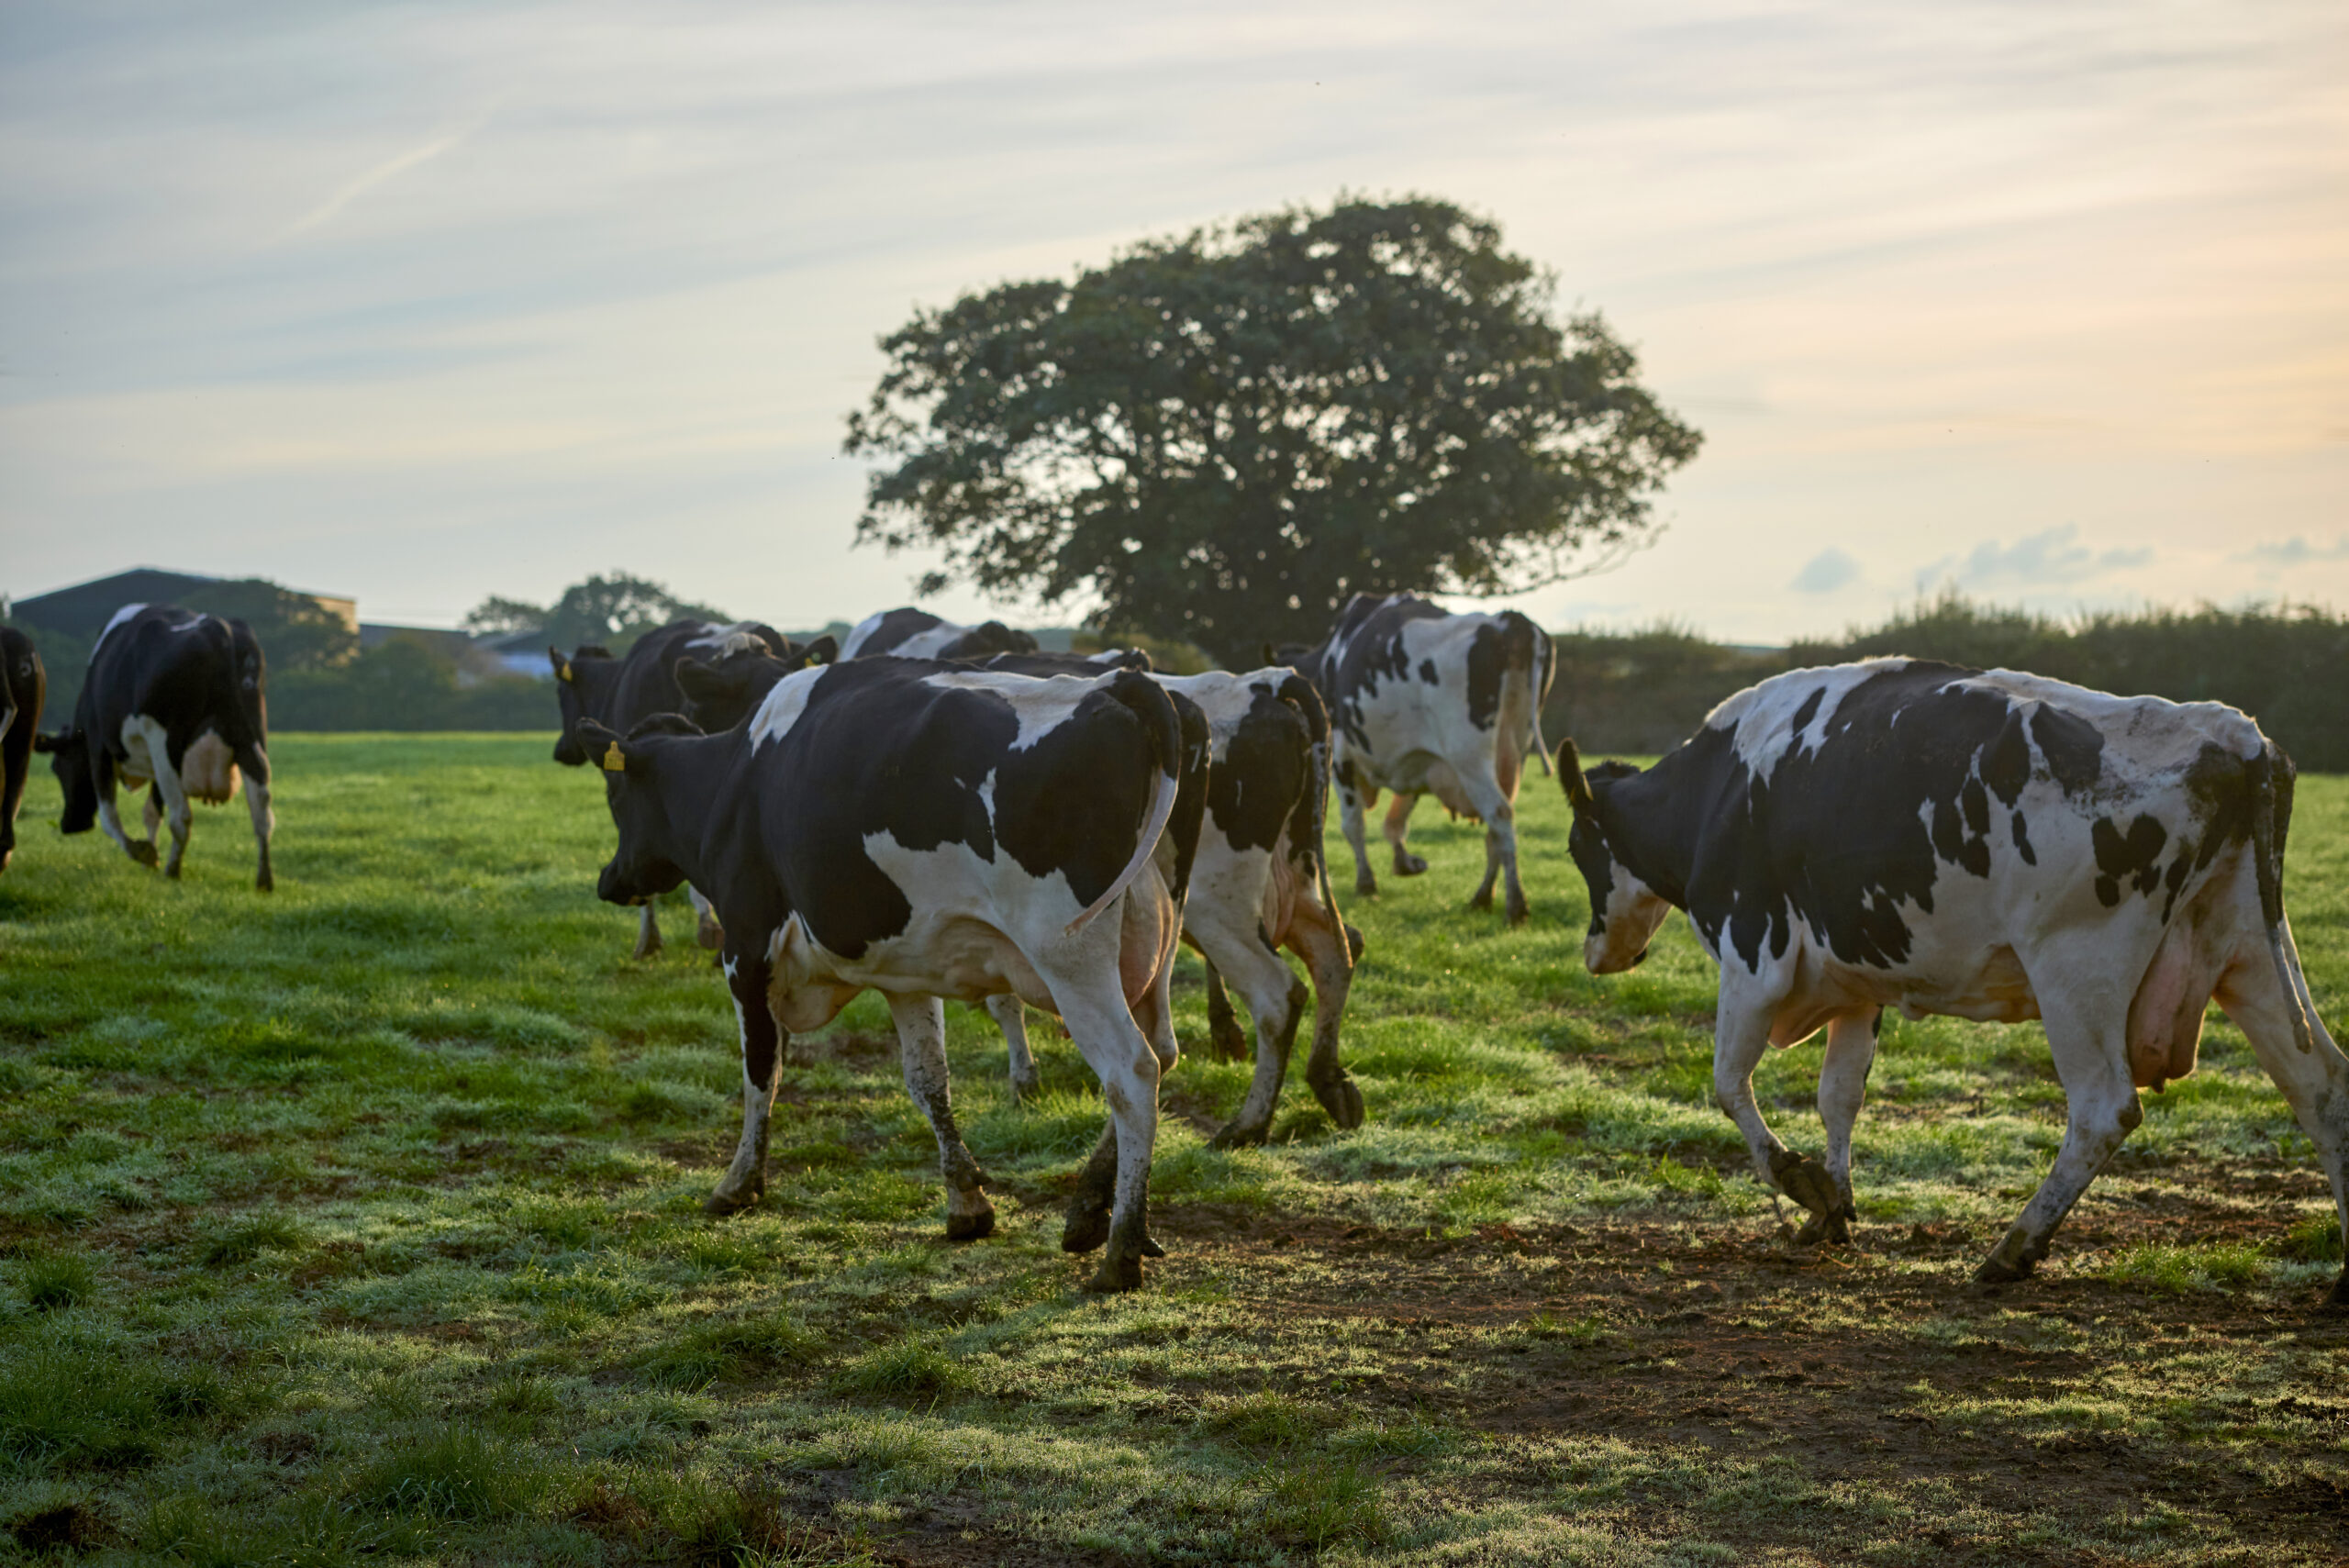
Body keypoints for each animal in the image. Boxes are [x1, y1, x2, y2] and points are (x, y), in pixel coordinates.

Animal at [34, 605, 274, 890]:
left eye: (58, 767)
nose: (69, 824)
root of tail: (215, 627)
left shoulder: (98, 745)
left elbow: (109, 816)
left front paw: (144, 853)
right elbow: (151, 811)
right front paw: (151, 856)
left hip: (165, 742)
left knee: (181, 815)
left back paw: (173, 870)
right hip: (250, 735)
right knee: (261, 809)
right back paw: (264, 880)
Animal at [578, 656, 1209, 1291]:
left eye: (616, 794)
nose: (608, 880)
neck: (737, 779)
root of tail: (1122, 682)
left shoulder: (746, 946)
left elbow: (761, 1070)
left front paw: (738, 1183)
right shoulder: (904, 973)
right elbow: (928, 1080)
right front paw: (966, 1202)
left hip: (1071, 956)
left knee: (1132, 1071)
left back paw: (1121, 1248)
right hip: (1157, 946)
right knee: (1164, 1051)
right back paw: (1087, 1211)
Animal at [678, 648, 1367, 1146]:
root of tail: (1265, 681)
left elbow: (1003, 1001)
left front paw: (1024, 1078)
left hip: (1215, 907)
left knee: (1274, 995)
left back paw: (1248, 1122)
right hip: (1286, 880)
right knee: (1334, 954)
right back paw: (1328, 1084)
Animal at [1279, 593, 1554, 924]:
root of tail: (1507, 621)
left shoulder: (1340, 756)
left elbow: (1353, 824)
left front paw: (1366, 883)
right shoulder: (1418, 759)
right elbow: (1395, 821)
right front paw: (1405, 864)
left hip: (1469, 756)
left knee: (1499, 814)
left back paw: (1515, 905)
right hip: (1513, 752)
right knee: (1497, 830)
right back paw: (1483, 896)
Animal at [1557, 658, 2349, 1307]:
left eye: (1576, 846)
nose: (1596, 951)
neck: (1718, 792)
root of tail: (2230, 732)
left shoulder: (1754, 955)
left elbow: (1728, 1084)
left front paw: (1799, 1180)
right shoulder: (1858, 984)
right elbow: (1838, 1095)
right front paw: (1833, 1206)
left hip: (2075, 966)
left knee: (2103, 1109)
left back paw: (2013, 1248)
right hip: (2248, 954)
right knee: (2323, 1090)